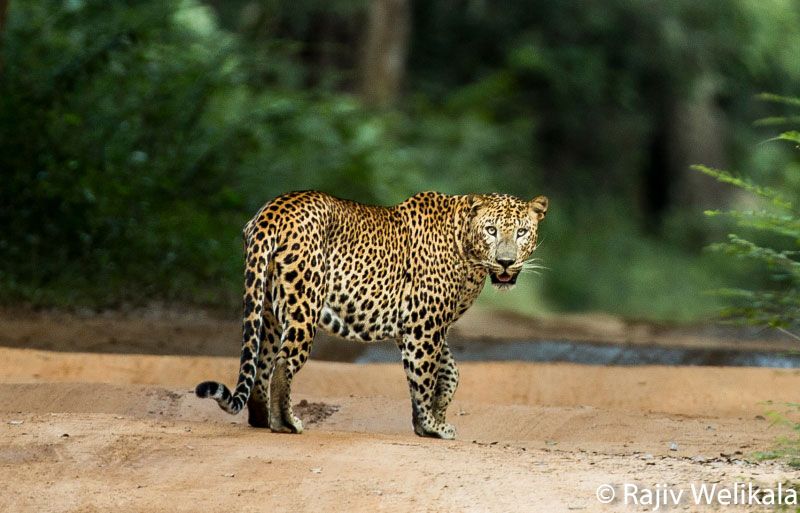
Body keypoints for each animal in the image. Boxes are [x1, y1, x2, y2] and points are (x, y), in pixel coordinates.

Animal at [198, 190, 552, 438]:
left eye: (522, 232)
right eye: (491, 230)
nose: (506, 262)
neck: (469, 253)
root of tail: (271, 212)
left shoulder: (423, 326)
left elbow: (450, 372)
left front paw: (436, 416)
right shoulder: (424, 325)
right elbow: (425, 374)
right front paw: (430, 427)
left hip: (269, 309)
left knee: (263, 361)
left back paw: (262, 419)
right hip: (303, 302)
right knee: (284, 363)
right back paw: (286, 423)